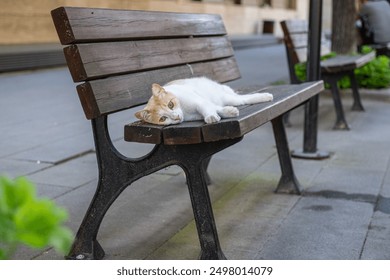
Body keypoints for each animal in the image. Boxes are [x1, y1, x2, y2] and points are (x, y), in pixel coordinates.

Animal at [136, 76, 272, 124]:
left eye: (170, 104)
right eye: (162, 119)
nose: (176, 117)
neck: (184, 111)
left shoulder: (200, 102)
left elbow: (207, 108)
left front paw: (211, 116)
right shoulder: (199, 111)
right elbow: (216, 108)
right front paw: (228, 112)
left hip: (227, 97)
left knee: (243, 99)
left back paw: (266, 96)